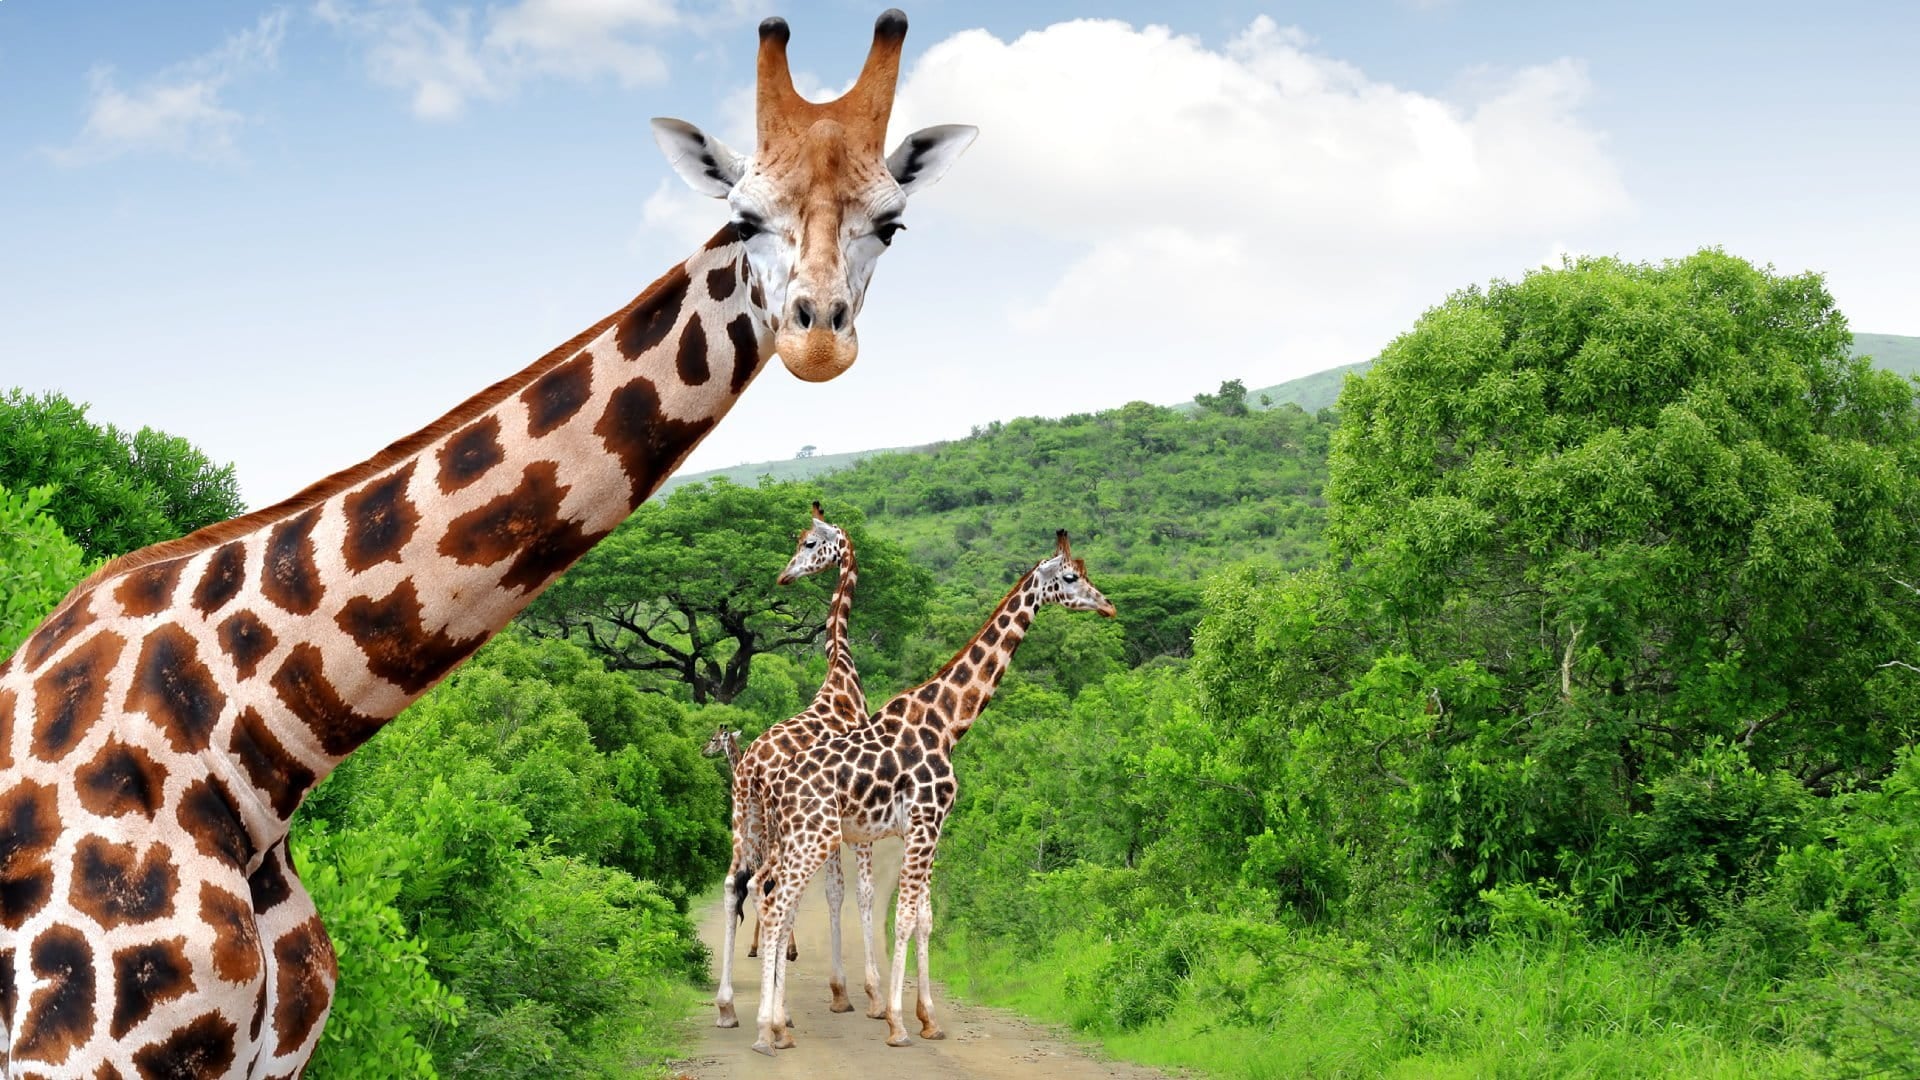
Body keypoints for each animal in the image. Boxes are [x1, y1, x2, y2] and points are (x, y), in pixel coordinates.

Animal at [715, 502, 882, 1030]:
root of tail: (749, 768)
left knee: (735, 885)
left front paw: (840, 991)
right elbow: (856, 892)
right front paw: (866, 993)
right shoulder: (858, 822)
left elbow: (832, 891)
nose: (784, 576)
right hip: (776, 828)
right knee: (768, 889)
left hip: (743, 820)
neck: (842, 678)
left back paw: (728, 1006)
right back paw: (777, 1012)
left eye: (809, 543)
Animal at [749, 531, 1115, 1055]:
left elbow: (925, 918)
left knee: (765, 896)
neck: (948, 722)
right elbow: (902, 918)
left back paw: (775, 1024)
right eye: (1069, 577)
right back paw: (766, 1030)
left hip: (792, 839)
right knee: (778, 905)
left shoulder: (927, 828)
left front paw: (929, 1020)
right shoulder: (924, 823)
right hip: (811, 840)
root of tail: (771, 782)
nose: (1107, 606)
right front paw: (897, 1024)